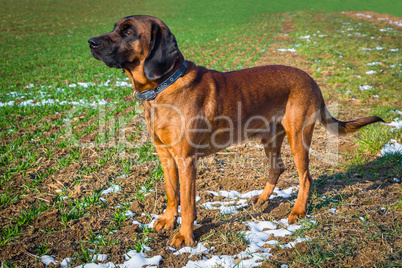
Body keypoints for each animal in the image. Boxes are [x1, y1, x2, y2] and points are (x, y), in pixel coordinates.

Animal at [88, 15, 384, 247]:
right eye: (115, 27)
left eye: (128, 32)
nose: (91, 42)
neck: (163, 85)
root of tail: (312, 80)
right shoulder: (165, 155)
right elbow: (172, 194)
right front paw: (168, 219)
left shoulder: (186, 160)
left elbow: (188, 202)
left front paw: (185, 236)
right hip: (271, 138)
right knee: (277, 168)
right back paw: (261, 200)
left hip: (298, 137)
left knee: (306, 178)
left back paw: (297, 211)